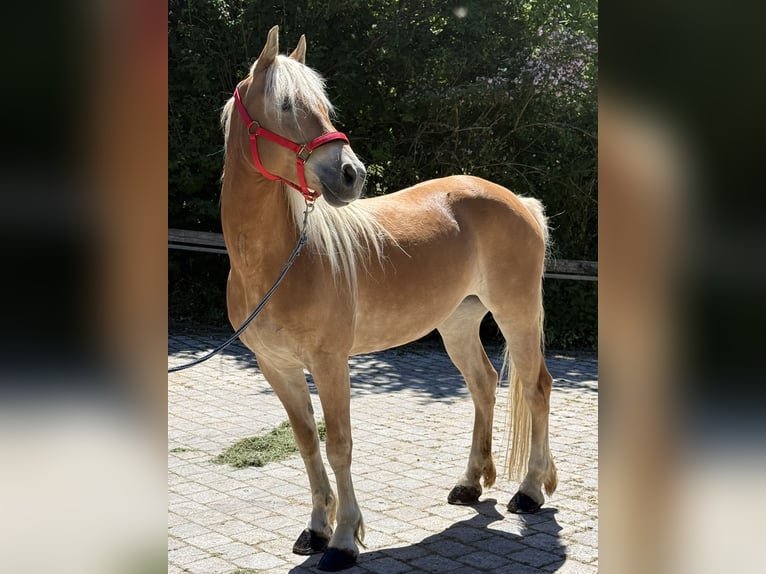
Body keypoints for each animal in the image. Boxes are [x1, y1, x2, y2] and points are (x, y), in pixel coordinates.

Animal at [219, 25, 557, 571]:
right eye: (287, 105)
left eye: (323, 104)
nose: (351, 173)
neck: (278, 262)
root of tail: (516, 201)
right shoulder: (278, 367)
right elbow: (307, 444)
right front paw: (316, 530)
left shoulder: (330, 362)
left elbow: (339, 445)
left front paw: (342, 541)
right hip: (457, 323)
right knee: (484, 384)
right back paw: (470, 483)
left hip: (518, 315)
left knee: (535, 387)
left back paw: (529, 491)